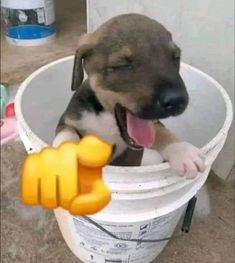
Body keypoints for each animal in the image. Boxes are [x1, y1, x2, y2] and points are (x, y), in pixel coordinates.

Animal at [53, 14, 206, 179]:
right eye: (122, 65)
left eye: (176, 57)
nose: (177, 101)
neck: (108, 118)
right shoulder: (68, 121)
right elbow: (67, 135)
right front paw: (61, 158)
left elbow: (160, 131)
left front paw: (182, 151)